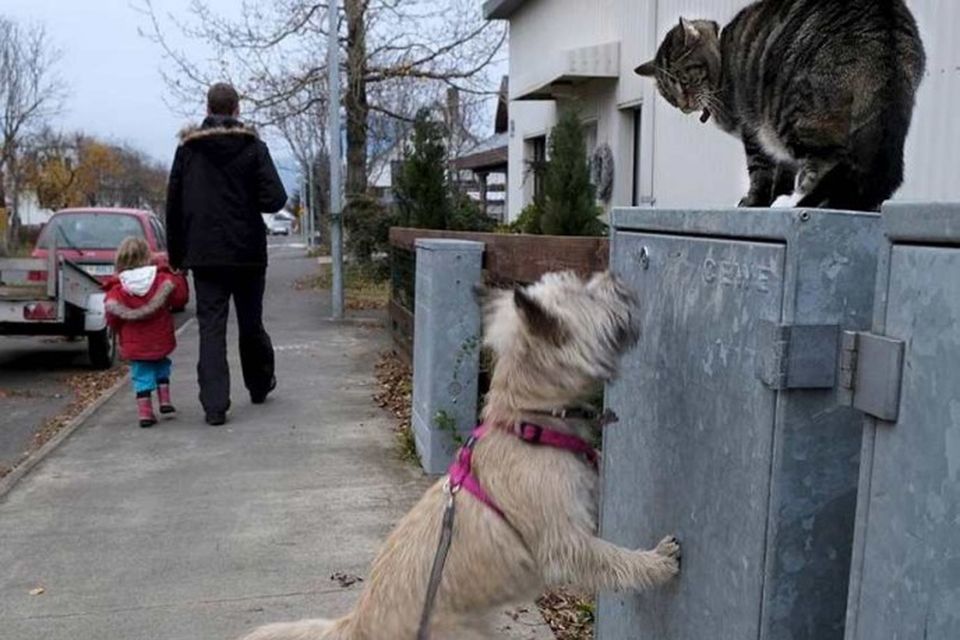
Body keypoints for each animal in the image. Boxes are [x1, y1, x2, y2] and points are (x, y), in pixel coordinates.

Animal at [240, 272, 684, 640]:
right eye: (587, 295)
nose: (615, 276)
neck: (528, 423)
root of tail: (355, 625)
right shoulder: (564, 541)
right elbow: (610, 559)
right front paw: (656, 562)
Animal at [632, 0, 928, 211]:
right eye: (669, 95)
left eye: (684, 80)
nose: (683, 105)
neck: (723, 55)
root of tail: (883, 26)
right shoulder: (774, 145)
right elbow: (784, 170)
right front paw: (776, 194)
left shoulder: (753, 130)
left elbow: (759, 171)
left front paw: (755, 200)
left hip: (796, 112)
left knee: (826, 160)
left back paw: (795, 201)